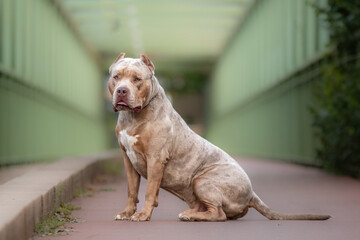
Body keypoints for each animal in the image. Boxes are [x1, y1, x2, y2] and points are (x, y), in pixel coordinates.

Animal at [108, 52, 330, 221]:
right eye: (116, 77)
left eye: (137, 79)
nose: (122, 91)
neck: (133, 116)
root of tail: (251, 192)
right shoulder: (128, 159)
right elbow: (132, 190)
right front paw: (126, 212)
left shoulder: (156, 158)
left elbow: (149, 191)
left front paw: (142, 215)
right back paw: (193, 213)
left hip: (202, 181)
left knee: (219, 214)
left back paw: (190, 215)